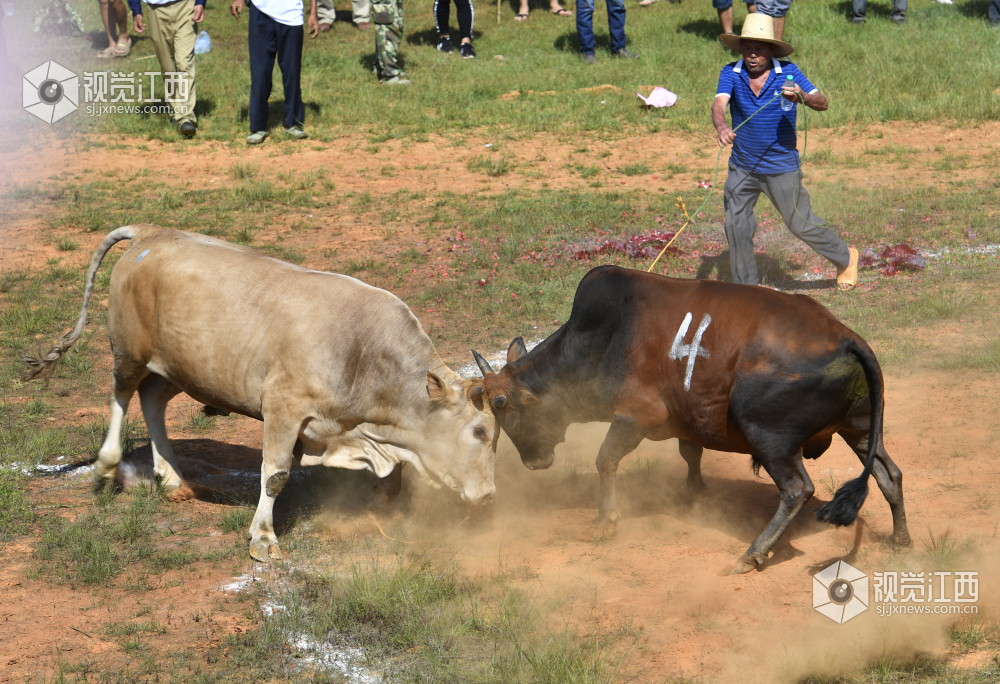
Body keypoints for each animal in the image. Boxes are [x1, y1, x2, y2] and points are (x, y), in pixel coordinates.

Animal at [29, 226, 498, 560]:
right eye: (479, 432)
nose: (491, 496)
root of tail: (150, 233)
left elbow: (393, 474)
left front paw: (384, 502)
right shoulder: (283, 407)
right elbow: (274, 475)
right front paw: (263, 537)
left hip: (178, 367)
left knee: (152, 402)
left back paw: (172, 478)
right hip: (129, 352)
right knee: (121, 397)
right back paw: (107, 467)